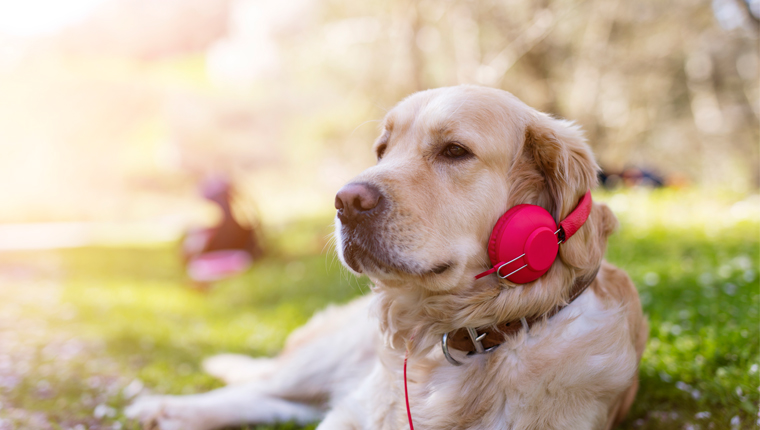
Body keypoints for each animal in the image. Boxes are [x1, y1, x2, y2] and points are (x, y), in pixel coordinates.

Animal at [126, 85, 648, 430]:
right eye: (382, 149)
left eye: (454, 151)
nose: (345, 201)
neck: (469, 336)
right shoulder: (352, 415)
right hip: (329, 358)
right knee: (260, 386)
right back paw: (160, 406)